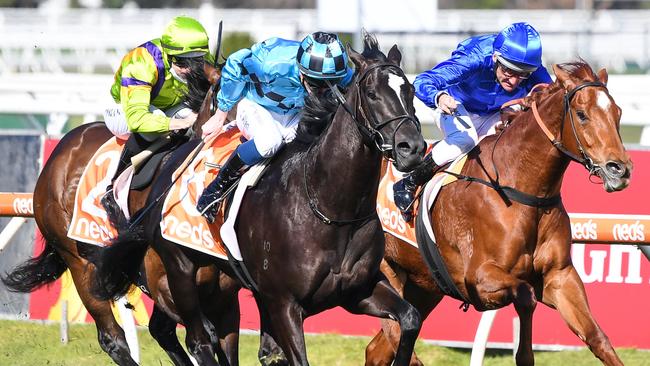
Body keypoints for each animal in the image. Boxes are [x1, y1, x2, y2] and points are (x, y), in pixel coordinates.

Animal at [0, 61, 243, 364]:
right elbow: (203, 333)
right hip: (80, 262)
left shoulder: (224, 296)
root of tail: (60, 151)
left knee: (159, 331)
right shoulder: (165, 285)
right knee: (112, 337)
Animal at [368, 60, 632, 366]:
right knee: (399, 340)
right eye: (582, 115)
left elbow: (597, 337)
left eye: (618, 112)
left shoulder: (560, 277)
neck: (521, 188)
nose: (620, 169)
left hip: (424, 287)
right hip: (387, 276)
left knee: (377, 349)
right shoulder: (479, 278)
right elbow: (525, 296)